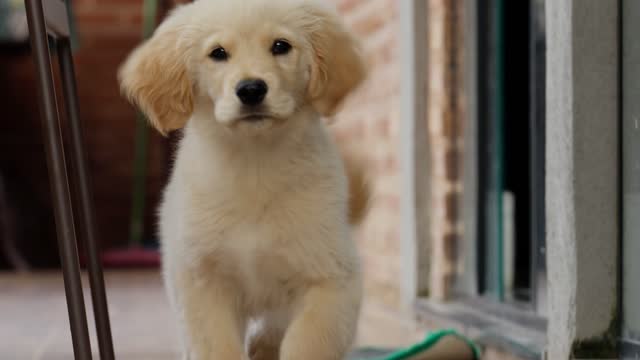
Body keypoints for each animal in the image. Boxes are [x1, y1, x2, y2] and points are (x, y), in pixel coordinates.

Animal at [119, 0, 368, 360]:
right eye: (218, 53)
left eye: (281, 46)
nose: (251, 90)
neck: (255, 164)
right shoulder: (202, 283)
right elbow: (218, 347)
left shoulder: (332, 279)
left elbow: (306, 342)